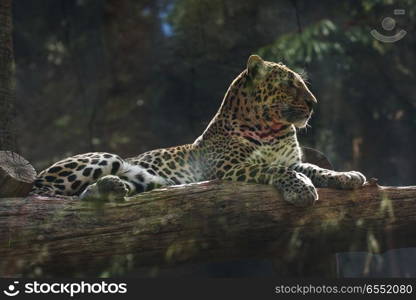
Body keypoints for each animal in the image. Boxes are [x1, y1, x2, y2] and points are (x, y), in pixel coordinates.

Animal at [30, 55, 366, 206]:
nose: (314, 103)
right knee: (54, 198)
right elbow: (275, 170)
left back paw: (115, 187)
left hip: (141, 179)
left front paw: (347, 176)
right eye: (288, 84)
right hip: (103, 157)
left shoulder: (292, 160)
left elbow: (313, 167)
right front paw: (301, 189)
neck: (273, 129)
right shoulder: (229, 168)